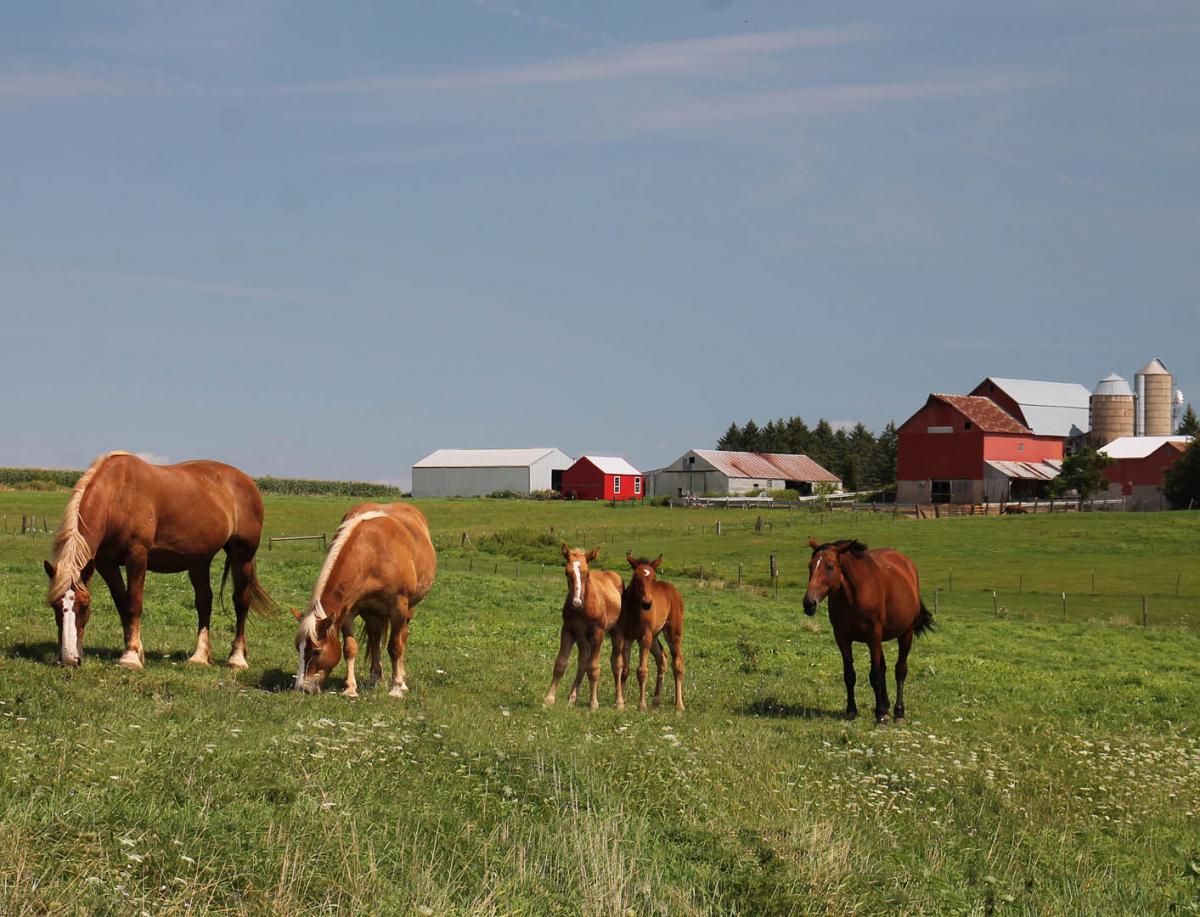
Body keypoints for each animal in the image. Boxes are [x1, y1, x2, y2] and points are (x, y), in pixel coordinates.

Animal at [43, 451, 275, 670]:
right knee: (204, 602)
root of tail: (247, 481)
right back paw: (199, 657)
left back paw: (237, 659)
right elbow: (122, 604)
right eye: (55, 606)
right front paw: (135, 650)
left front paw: (130, 657)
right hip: (199, 560)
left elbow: (134, 603)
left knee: (241, 601)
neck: (117, 496)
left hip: (242, 555)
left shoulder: (137, 556)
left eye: (84, 606)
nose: (69, 659)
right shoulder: (106, 564)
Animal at [294, 503, 436, 698]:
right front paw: (350, 688)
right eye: (298, 648)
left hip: (408, 610)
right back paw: (375, 677)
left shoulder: (399, 607)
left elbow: (395, 647)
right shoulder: (347, 612)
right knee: (375, 638)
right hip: (372, 613)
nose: (302, 688)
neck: (373, 552)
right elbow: (350, 648)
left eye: (316, 651)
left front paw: (397, 687)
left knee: (402, 637)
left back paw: (402, 680)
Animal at [543, 544, 627, 710]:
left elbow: (593, 668)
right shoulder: (568, 630)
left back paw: (619, 702)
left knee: (616, 664)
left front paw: (593, 703)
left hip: (616, 632)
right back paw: (572, 698)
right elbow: (560, 664)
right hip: (582, 638)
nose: (576, 602)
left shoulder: (597, 633)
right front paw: (549, 698)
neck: (584, 608)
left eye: (587, 574)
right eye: (567, 573)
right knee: (582, 660)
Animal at [613, 553, 685, 711]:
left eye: (654, 578)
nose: (647, 603)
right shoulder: (626, 637)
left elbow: (642, 671)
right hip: (655, 637)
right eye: (636, 577)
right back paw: (656, 700)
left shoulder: (644, 637)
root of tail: (673, 588)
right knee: (662, 658)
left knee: (677, 663)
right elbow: (625, 669)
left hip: (672, 633)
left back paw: (679, 705)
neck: (635, 612)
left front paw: (641, 705)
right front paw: (620, 702)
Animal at [802, 537, 933, 723]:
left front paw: (880, 714)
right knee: (884, 668)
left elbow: (875, 676)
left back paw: (898, 711)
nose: (809, 604)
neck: (855, 594)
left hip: (905, 634)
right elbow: (850, 675)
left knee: (900, 670)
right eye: (810, 566)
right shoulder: (842, 637)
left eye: (830, 566)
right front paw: (851, 710)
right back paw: (886, 705)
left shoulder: (873, 637)